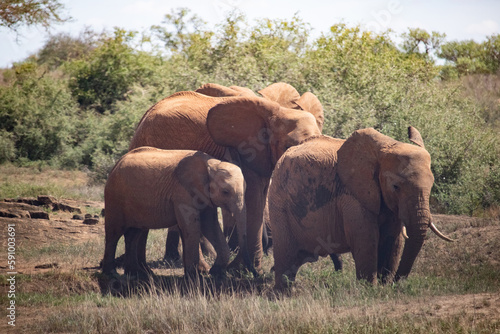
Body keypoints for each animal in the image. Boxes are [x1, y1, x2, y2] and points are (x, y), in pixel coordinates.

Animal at [102, 147, 254, 278]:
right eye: (225, 192)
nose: (253, 273)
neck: (211, 164)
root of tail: (117, 163)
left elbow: (209, 225)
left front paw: (215, 272)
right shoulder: (182, 192)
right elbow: (192, 227)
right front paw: (194, 277)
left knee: (134, 234)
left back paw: (136, 274)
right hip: (114, 197)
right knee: (114, 233)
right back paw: (112, 274)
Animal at [270, 126, 454, 288]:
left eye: (431, 185)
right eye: (396, 187)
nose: (396, 283)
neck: (386, 147)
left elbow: (393, 241)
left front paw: (384, 286)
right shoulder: (353, 197)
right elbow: (366, 239)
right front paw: (370, 289)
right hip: (279, 204)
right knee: (285, 255)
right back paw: (283, 295)